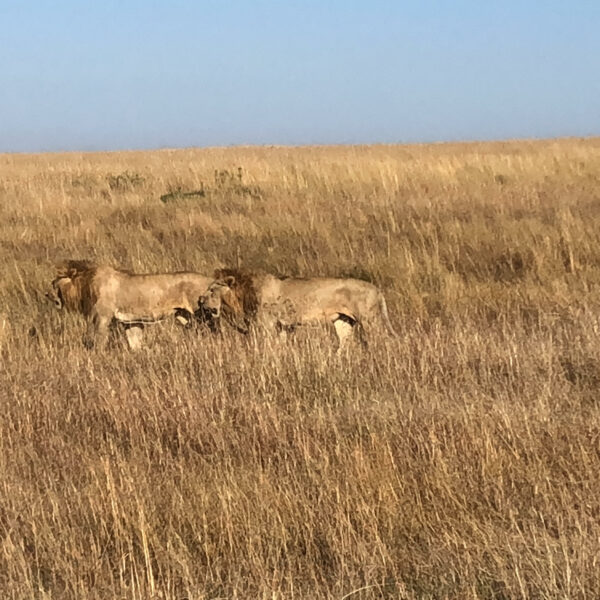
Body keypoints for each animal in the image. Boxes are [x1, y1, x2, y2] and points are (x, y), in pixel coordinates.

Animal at [46, 260, 213, 350]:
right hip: (184, 317)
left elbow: (98, 342)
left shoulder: (102, 318)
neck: (85, 284)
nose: (46, 294)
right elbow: (135, 343)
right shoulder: (132, 322)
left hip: (202, 315)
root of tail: (210, 280)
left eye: (54, 283)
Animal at [200, 268, 398, 352]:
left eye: (212, 289)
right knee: (345, 343)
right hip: (343, 320)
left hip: (370, 320)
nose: (200, 300)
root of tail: (377, 289)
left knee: (383, 341)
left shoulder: (266, 325)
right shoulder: (282, 326)